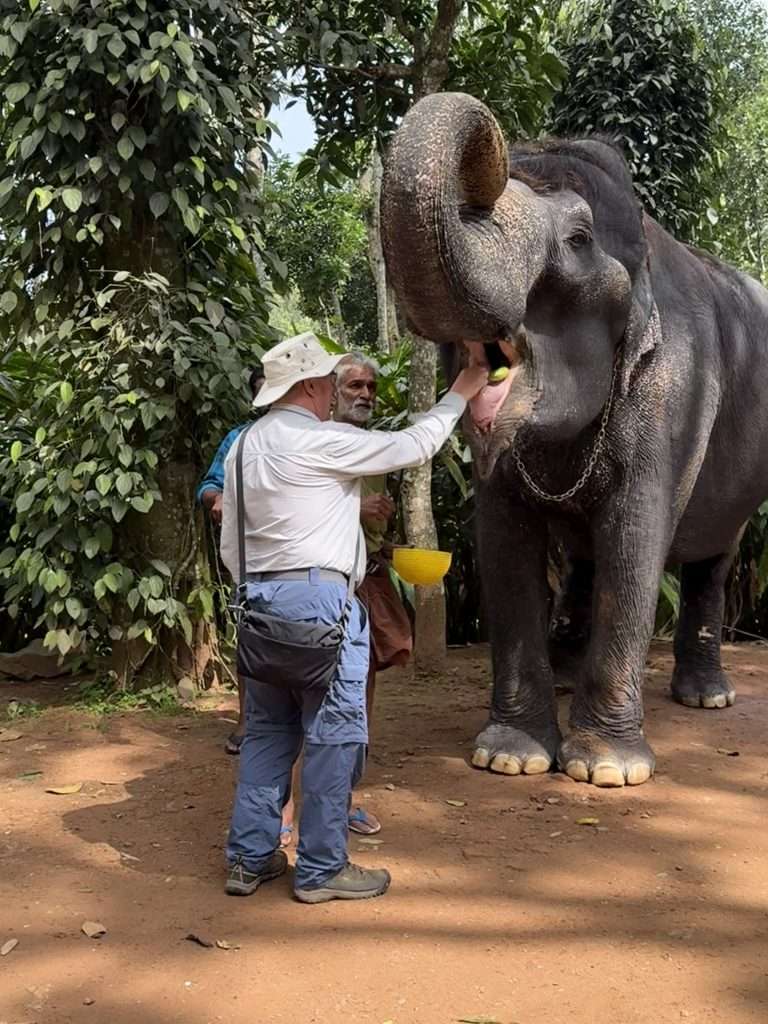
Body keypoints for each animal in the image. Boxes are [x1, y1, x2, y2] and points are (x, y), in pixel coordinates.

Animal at [380, 91, 768, 788]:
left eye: (579, 240)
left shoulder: (672, 387)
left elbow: (634, 540)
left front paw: (605, 770)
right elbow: (504, 543)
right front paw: (509, 758)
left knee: (713, 556)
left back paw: (706, 697)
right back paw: (567, 675)